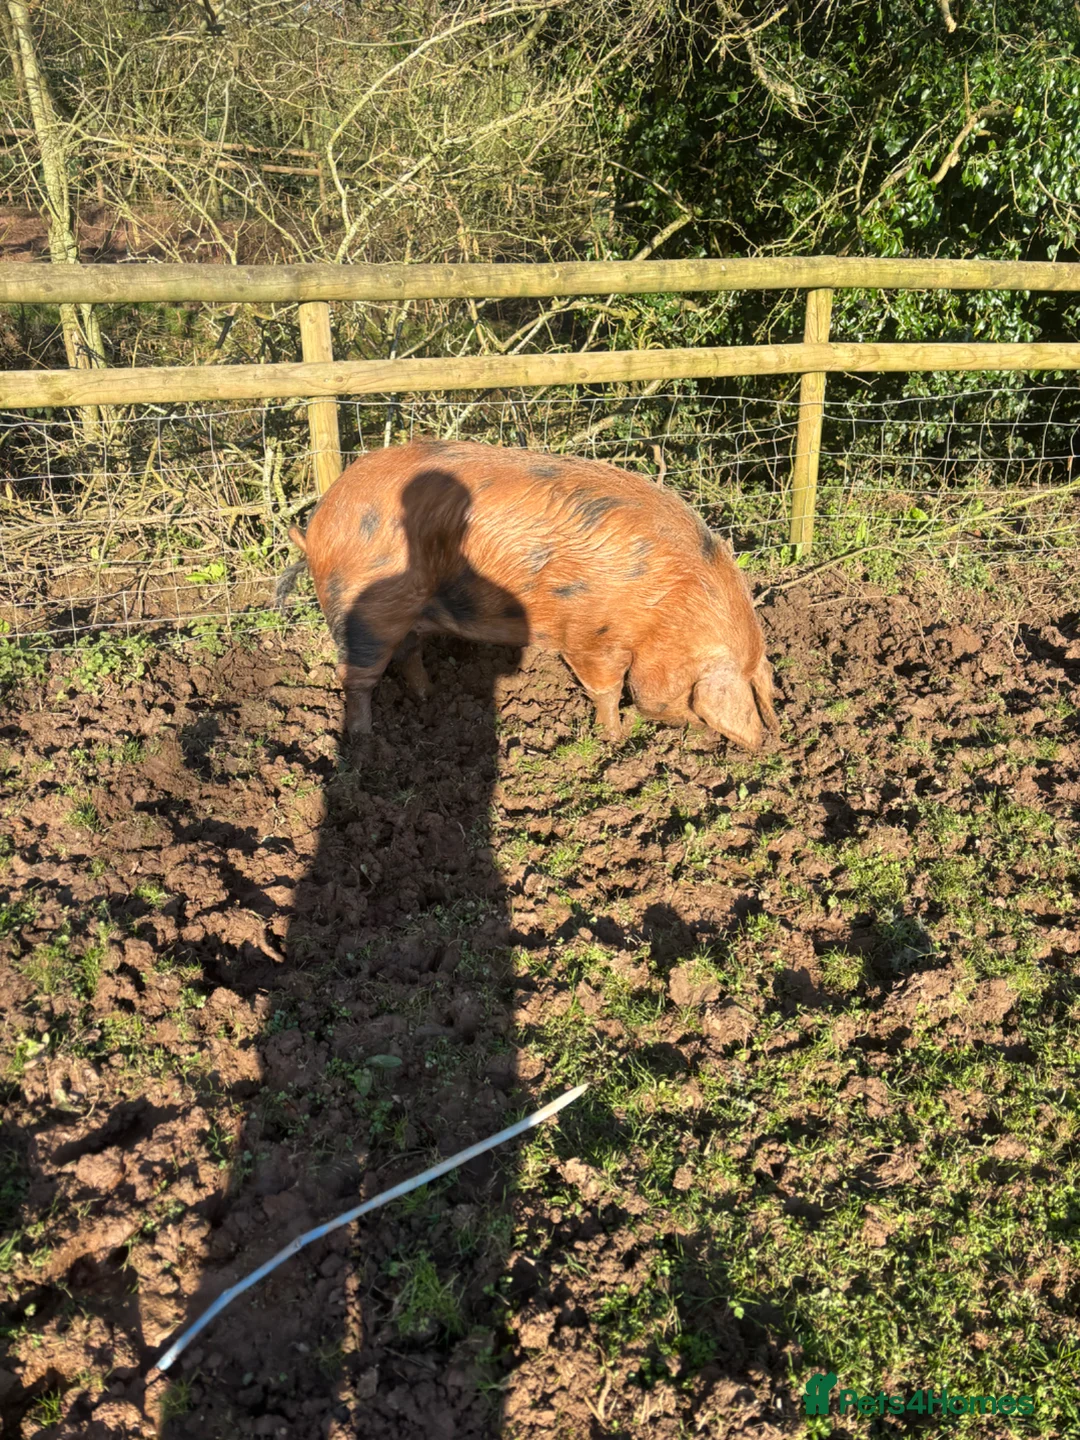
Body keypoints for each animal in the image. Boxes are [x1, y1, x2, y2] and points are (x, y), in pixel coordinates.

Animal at [278, 438, 779, 749]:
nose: (761, 743)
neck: (667, 606)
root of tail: (318, 524)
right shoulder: (592, 638)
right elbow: (607, 689)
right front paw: (614, 739)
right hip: (364, 608)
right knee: (356, 677)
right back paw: (365, 742)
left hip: (408, 612)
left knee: (408, 654)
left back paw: (429, 699)